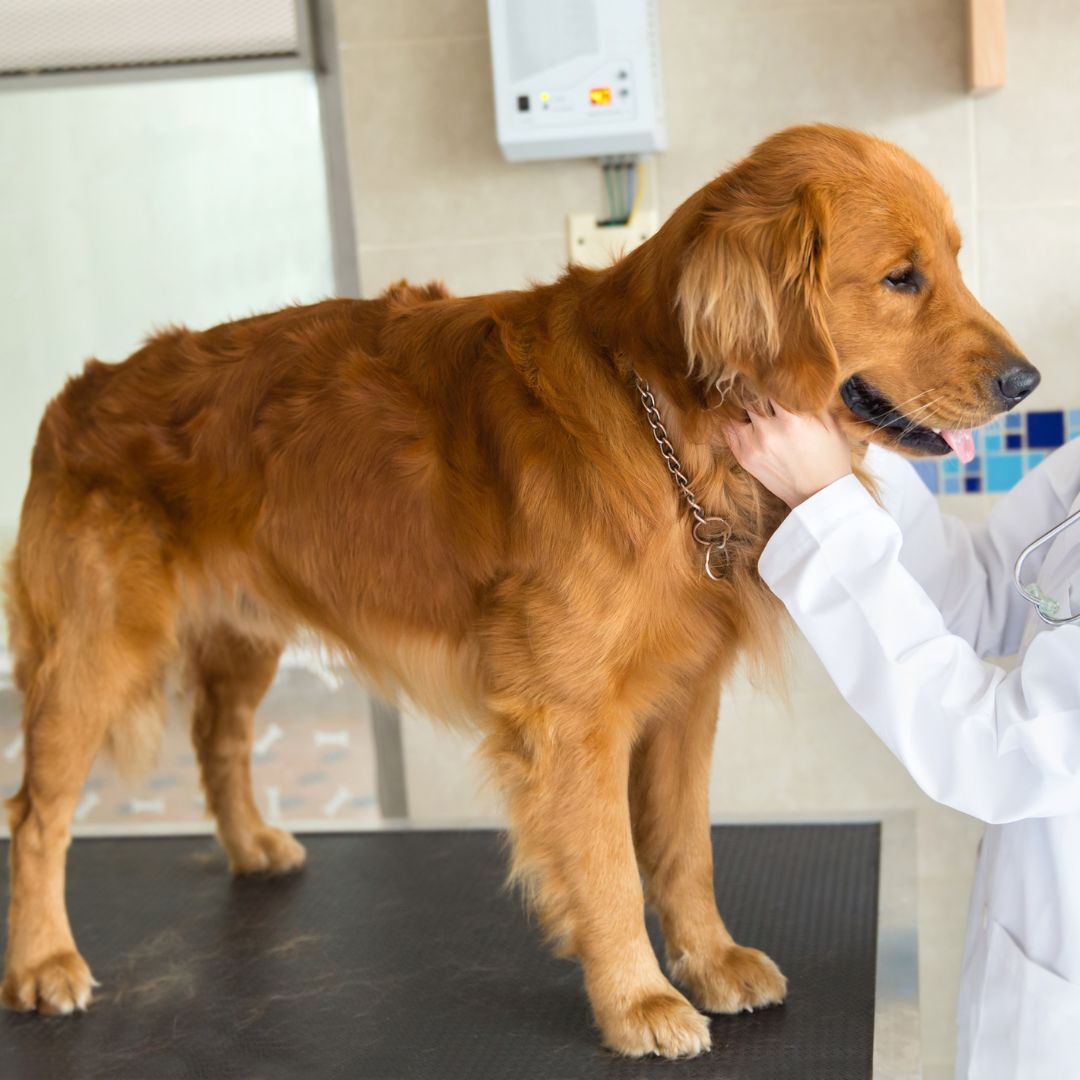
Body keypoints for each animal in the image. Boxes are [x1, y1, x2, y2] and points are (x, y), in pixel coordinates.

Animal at [2, 124, 1036, 1054]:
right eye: (901, 278)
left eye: (953, 261)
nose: (1027, 381)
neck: (666, 424)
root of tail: (76, 393)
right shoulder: (570, 716)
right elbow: (610, 866)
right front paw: (639, 999)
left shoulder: (684, 697)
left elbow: (684, 849)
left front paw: (708, 959)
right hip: (96, 652)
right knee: (37, 815)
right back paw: (42, 960)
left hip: (242, 636)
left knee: (217, 739)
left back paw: (251, 843)